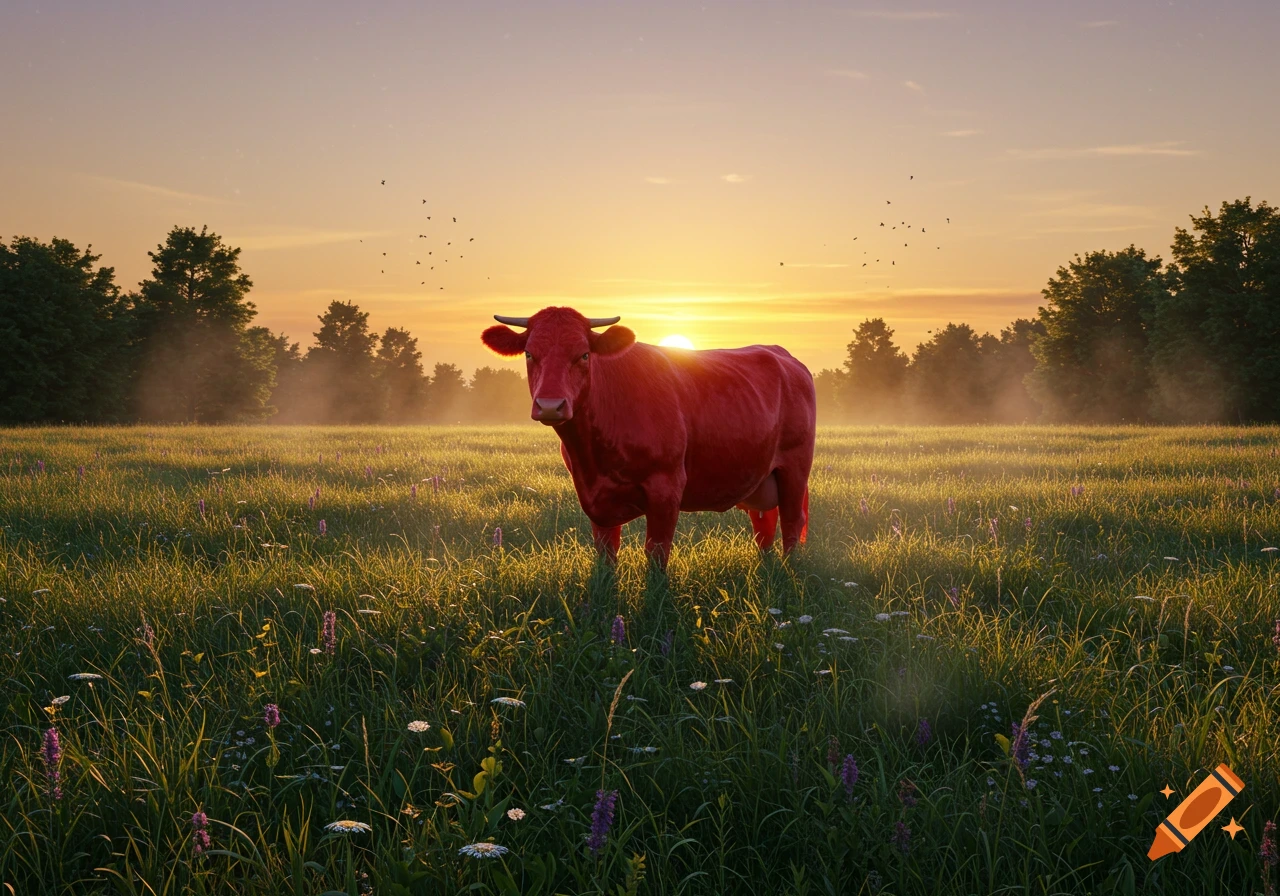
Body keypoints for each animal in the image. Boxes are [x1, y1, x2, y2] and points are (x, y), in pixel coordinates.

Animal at [481, 306, 816, 569]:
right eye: (529, 353)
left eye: (584, 355)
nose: (550, 405)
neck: (591, 455)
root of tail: (781, 354)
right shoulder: (593, 497)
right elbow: (606, 554)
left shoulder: (666, 487)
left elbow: (656, 554)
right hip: (761, 478)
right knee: (765, 525)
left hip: (795, 468)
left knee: (791, 522)